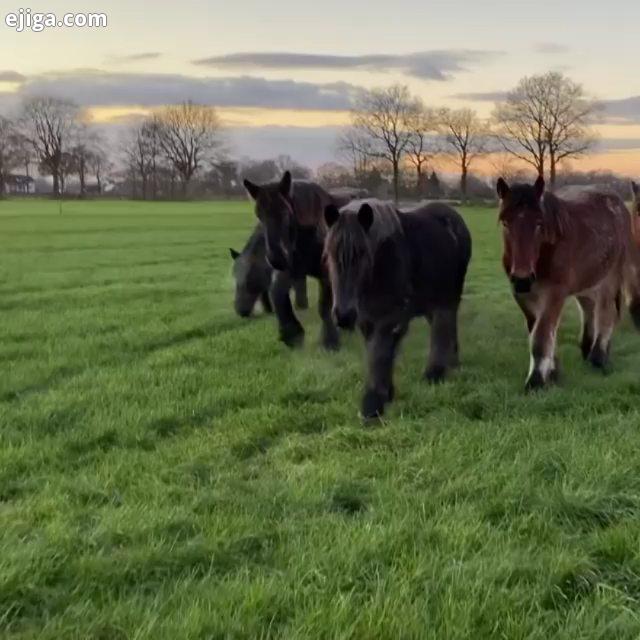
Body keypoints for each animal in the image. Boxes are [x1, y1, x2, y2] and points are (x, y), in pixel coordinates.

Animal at [244, 171, 344, 350]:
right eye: (259, 215)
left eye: (285, 213)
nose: (275, 258)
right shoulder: (291, 268)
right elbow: (277, 293)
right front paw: (291, 334)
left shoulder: (327, 273)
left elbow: (324, 306)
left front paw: (330, 341)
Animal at [324, 200, 470, 420]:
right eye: (331, 254)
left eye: (362, 253)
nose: (343, 316)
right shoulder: (367, 319)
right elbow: (375, 352)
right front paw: (385, 395)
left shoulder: (389, 319)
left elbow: (380, 353)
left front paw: (373, 404)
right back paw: (449, 365)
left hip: (448, 296)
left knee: (443, 327)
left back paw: (435, 373)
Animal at [496, 175, 636, 390]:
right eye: (505, 223)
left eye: (539, 223)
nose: (522, 278)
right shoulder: (522, 295)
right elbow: (537, 331)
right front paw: (553, 373)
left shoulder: (555, 293)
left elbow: (541, 335)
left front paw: (536, 381)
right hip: (586, 281)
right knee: (589, 310)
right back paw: (587, 348)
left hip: (610, 277)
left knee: (605, 313)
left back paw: (598, 358)